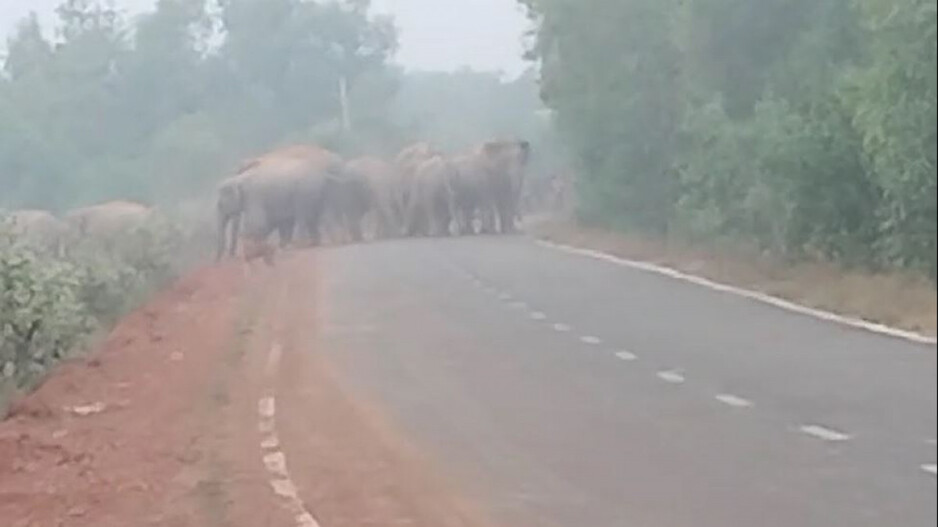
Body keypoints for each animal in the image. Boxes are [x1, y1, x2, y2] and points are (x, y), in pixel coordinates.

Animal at [216, 144, 344, 262]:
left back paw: (299, 245)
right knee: (319, 214)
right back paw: (321, 242)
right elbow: (276, 221)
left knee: (303, 215)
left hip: (304, 192)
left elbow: (257, 222)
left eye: (220, 204)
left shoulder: (254, 196)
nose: (229, 257)